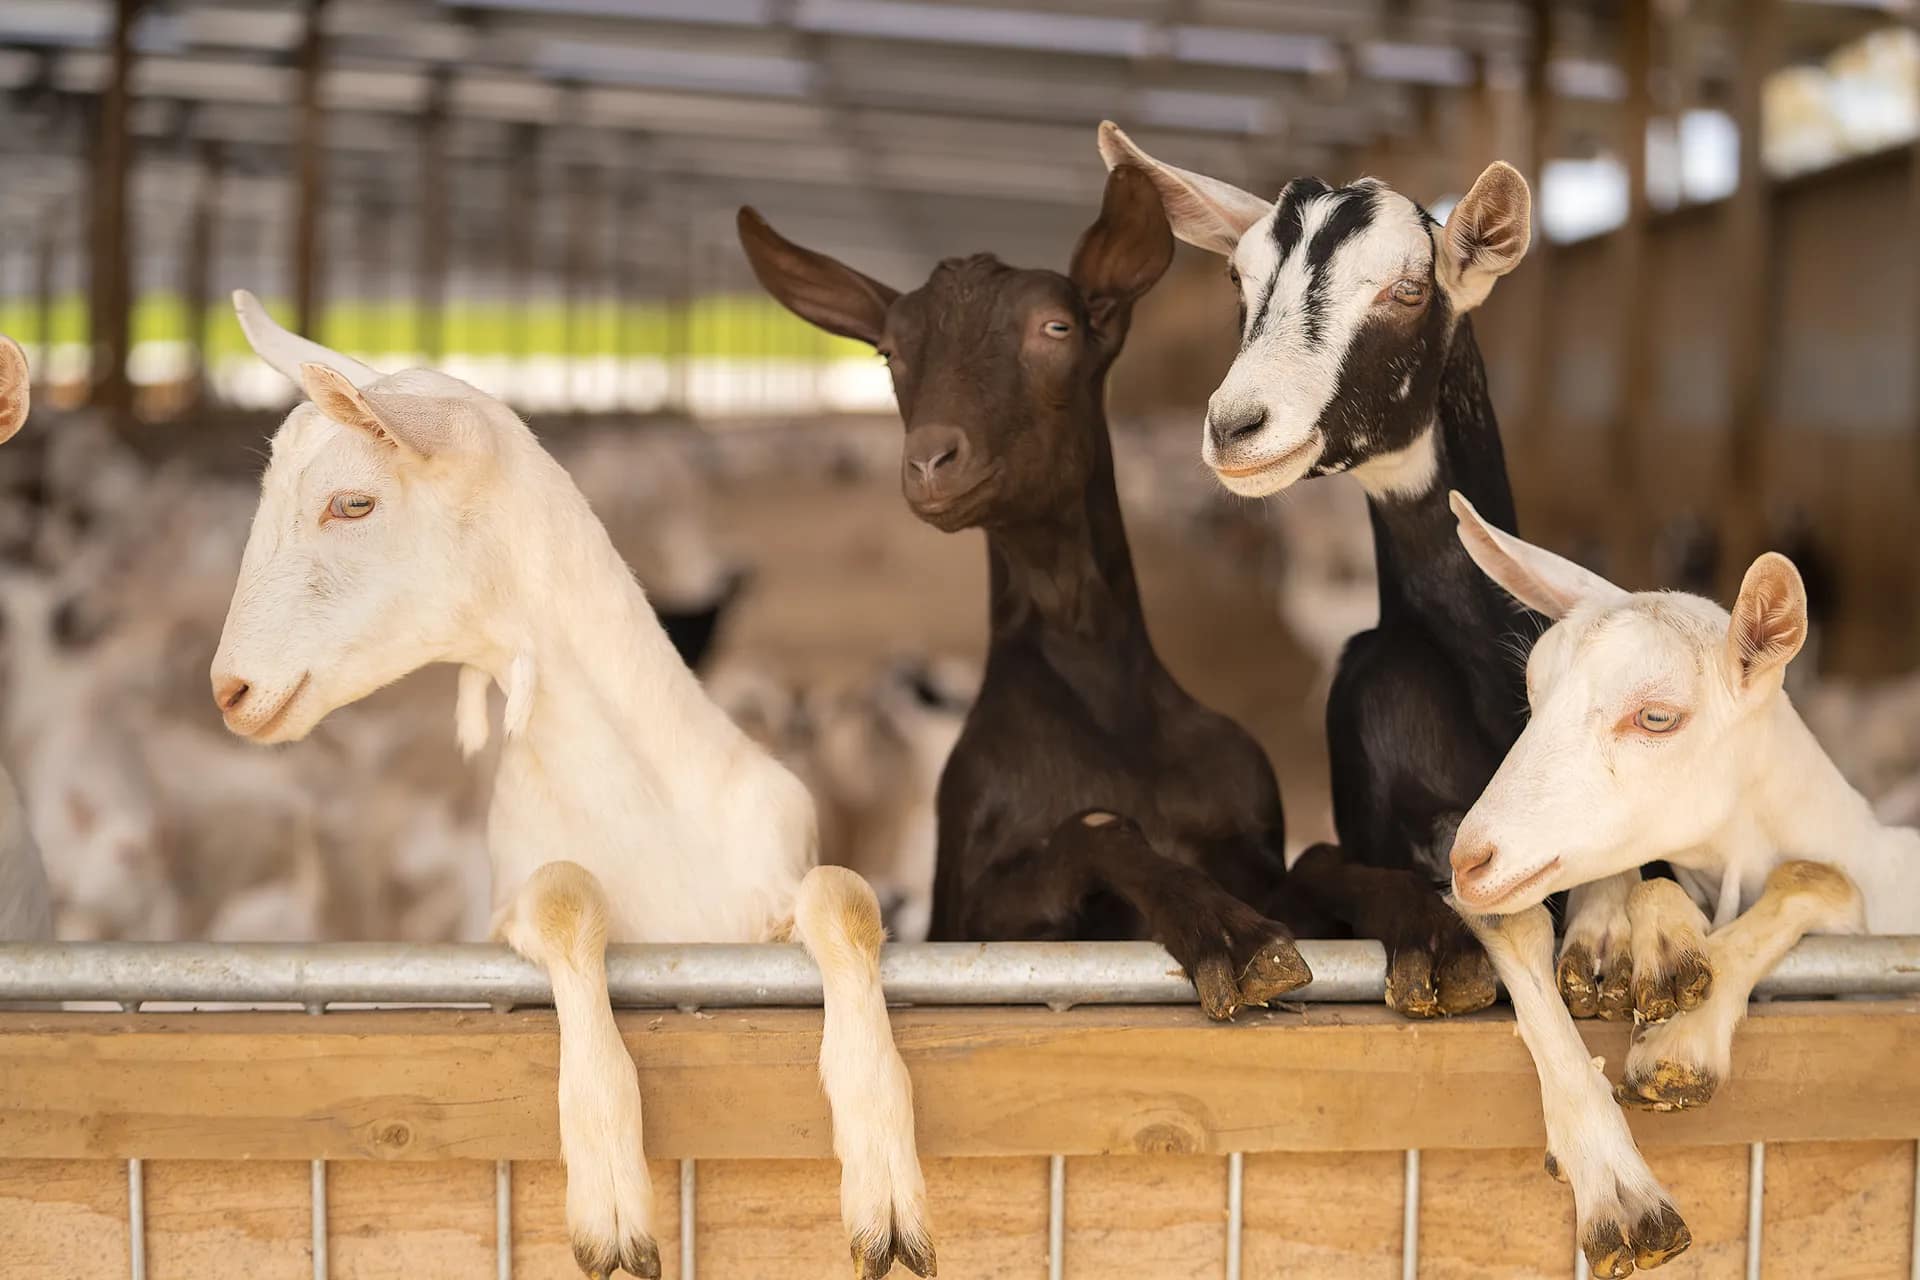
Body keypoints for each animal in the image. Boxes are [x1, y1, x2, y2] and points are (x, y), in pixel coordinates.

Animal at [208, 294, 932, 1280]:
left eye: (352, 503)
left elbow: (844, 897)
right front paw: (613, 1205)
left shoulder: (777, 873)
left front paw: (886, 1192)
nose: (230, 689)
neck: (643, 812)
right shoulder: (503, 915)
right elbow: (563, 896)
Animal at [739, 164, 1327, 1019]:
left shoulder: (1260, 836)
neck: (1107, 701)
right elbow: (1096, 828)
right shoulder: (969, 919)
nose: (930, 461)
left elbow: (1327, 860)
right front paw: (1233, 937)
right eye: (889, 352)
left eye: (1056, 328)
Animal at [1447, 495, 1896, 1274]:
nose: (1470, 860)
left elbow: (1817, 874)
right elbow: (1524, 924)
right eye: (1532, 692)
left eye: (1656, 717)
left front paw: (1680, 1036)